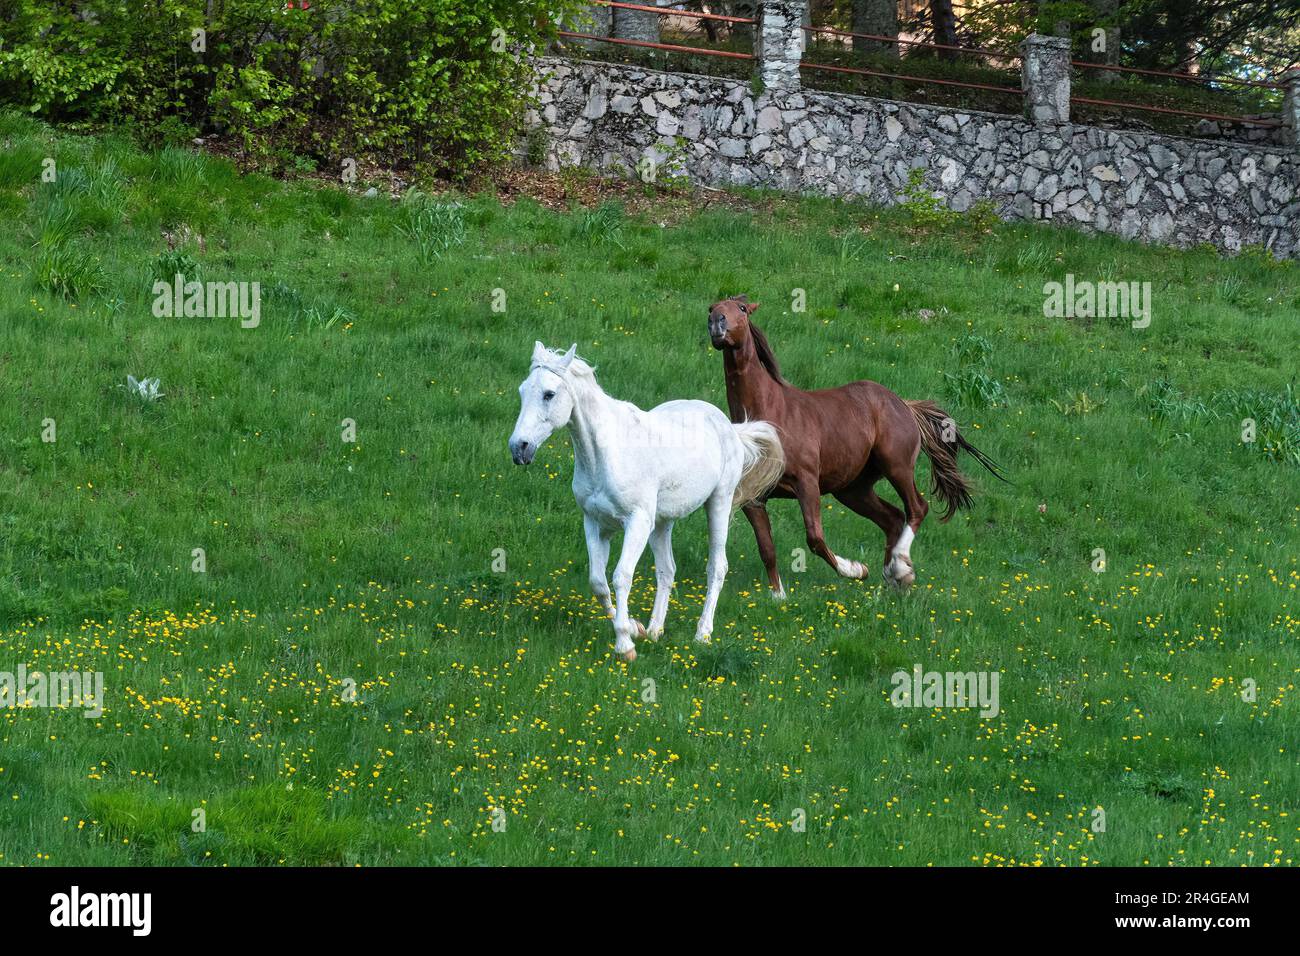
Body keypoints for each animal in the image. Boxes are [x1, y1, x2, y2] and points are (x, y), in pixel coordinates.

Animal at [509, 341, 785, 661]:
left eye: (549, 394)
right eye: (522, 391)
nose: (519, 448)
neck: (607, 453)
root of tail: (730, 427)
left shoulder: (637, 522)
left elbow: (621, 576)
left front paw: (625, 645)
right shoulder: (595, 524)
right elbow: (598, 582)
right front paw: (634, 628)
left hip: (719, 502)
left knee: (717, 567)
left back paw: (702, 634)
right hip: (662, 523)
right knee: (667, 569)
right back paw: (654, 630)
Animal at [707, 296, 1005, 597]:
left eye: (742, 309)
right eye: (711, 307)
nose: (717, 322)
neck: (771, 414)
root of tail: (905, 405)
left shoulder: (807, 483)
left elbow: (815, 538)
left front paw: (856, 569)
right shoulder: (753, 498)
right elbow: (767, 549)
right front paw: (778, 597)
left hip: (896, 467)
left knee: (916, 508)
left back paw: (901, 569)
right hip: (853, 489)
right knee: (893, 518)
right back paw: (891, 578)